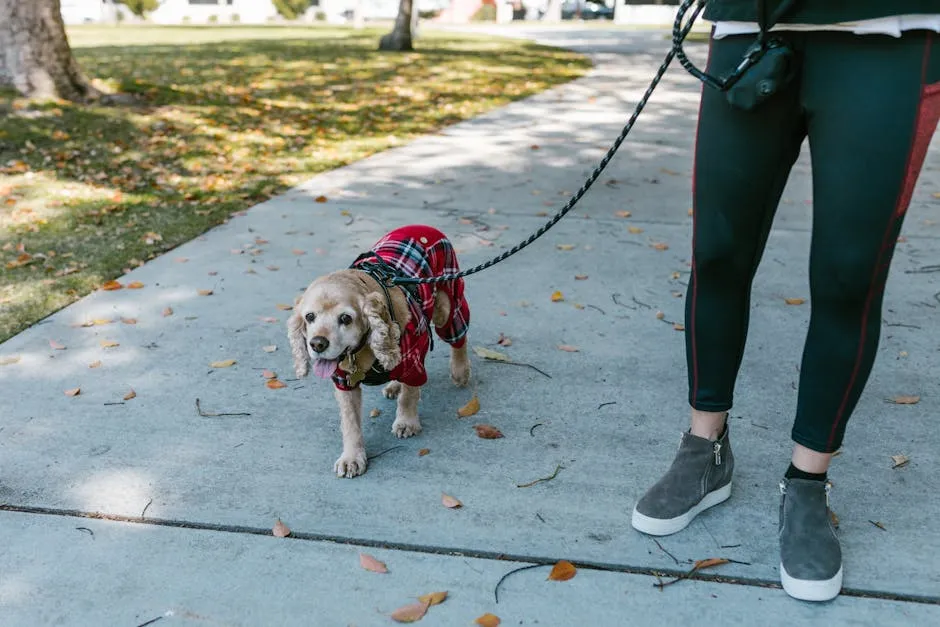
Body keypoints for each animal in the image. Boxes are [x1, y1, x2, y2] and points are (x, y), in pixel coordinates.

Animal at [286, 226, 470, 476]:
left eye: (346, 318)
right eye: (309, 317)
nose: (317, 344)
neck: (361, 351)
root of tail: (423, 227)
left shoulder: (413, 359)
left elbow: (409, 395)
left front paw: (406, 422)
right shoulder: (344, 381)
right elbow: (351, 423)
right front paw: (352, 458)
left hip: (447, 303)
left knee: (458, 337)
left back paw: (460, 370)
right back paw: (393, 385)